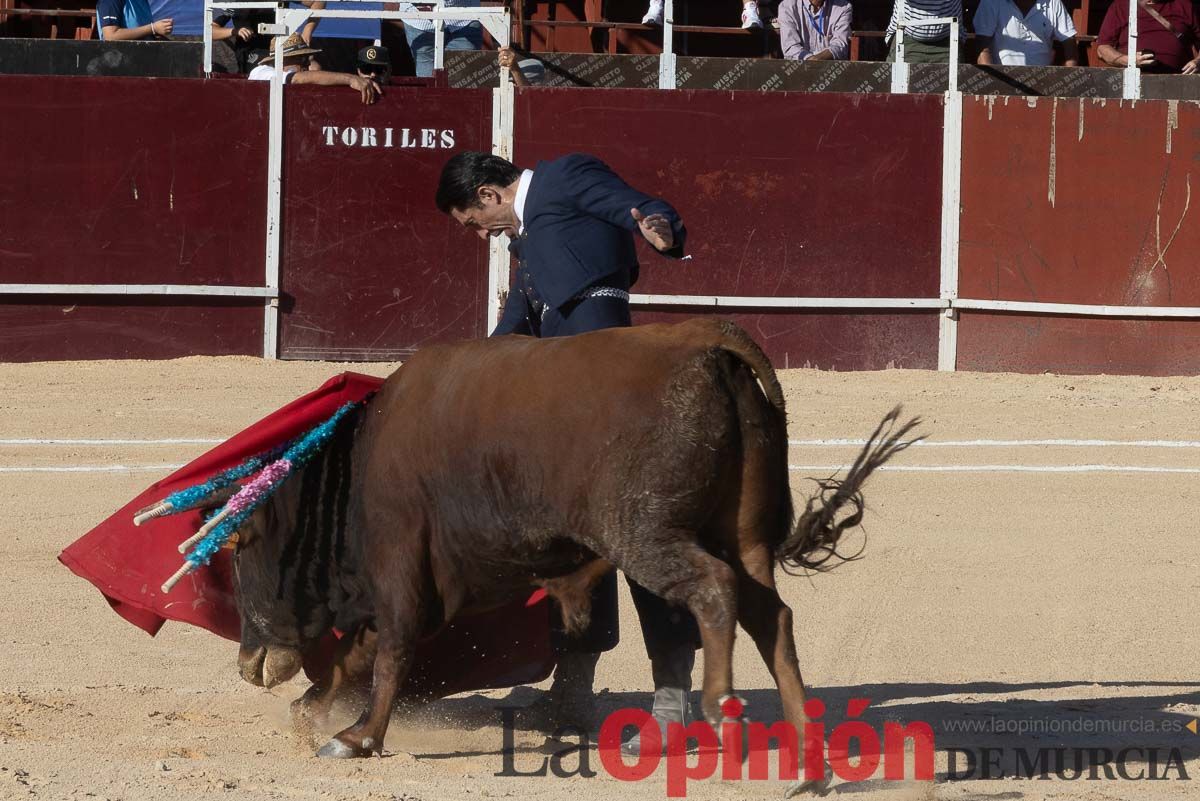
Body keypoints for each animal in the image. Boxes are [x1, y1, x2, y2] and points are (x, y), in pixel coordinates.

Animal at [226, 316, 916, 781]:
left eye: (236, 548)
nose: (246, 663)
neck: (357, 469)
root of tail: (706, 339)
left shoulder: (398, 562)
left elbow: (389, 651)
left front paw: (359, 737)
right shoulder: (423, 584)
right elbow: (358, 654)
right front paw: (312, 711)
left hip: (644, 533)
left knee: (712, 589)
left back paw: (723, 709)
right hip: (742, 537)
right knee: (769, 613)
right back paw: (806, 750)